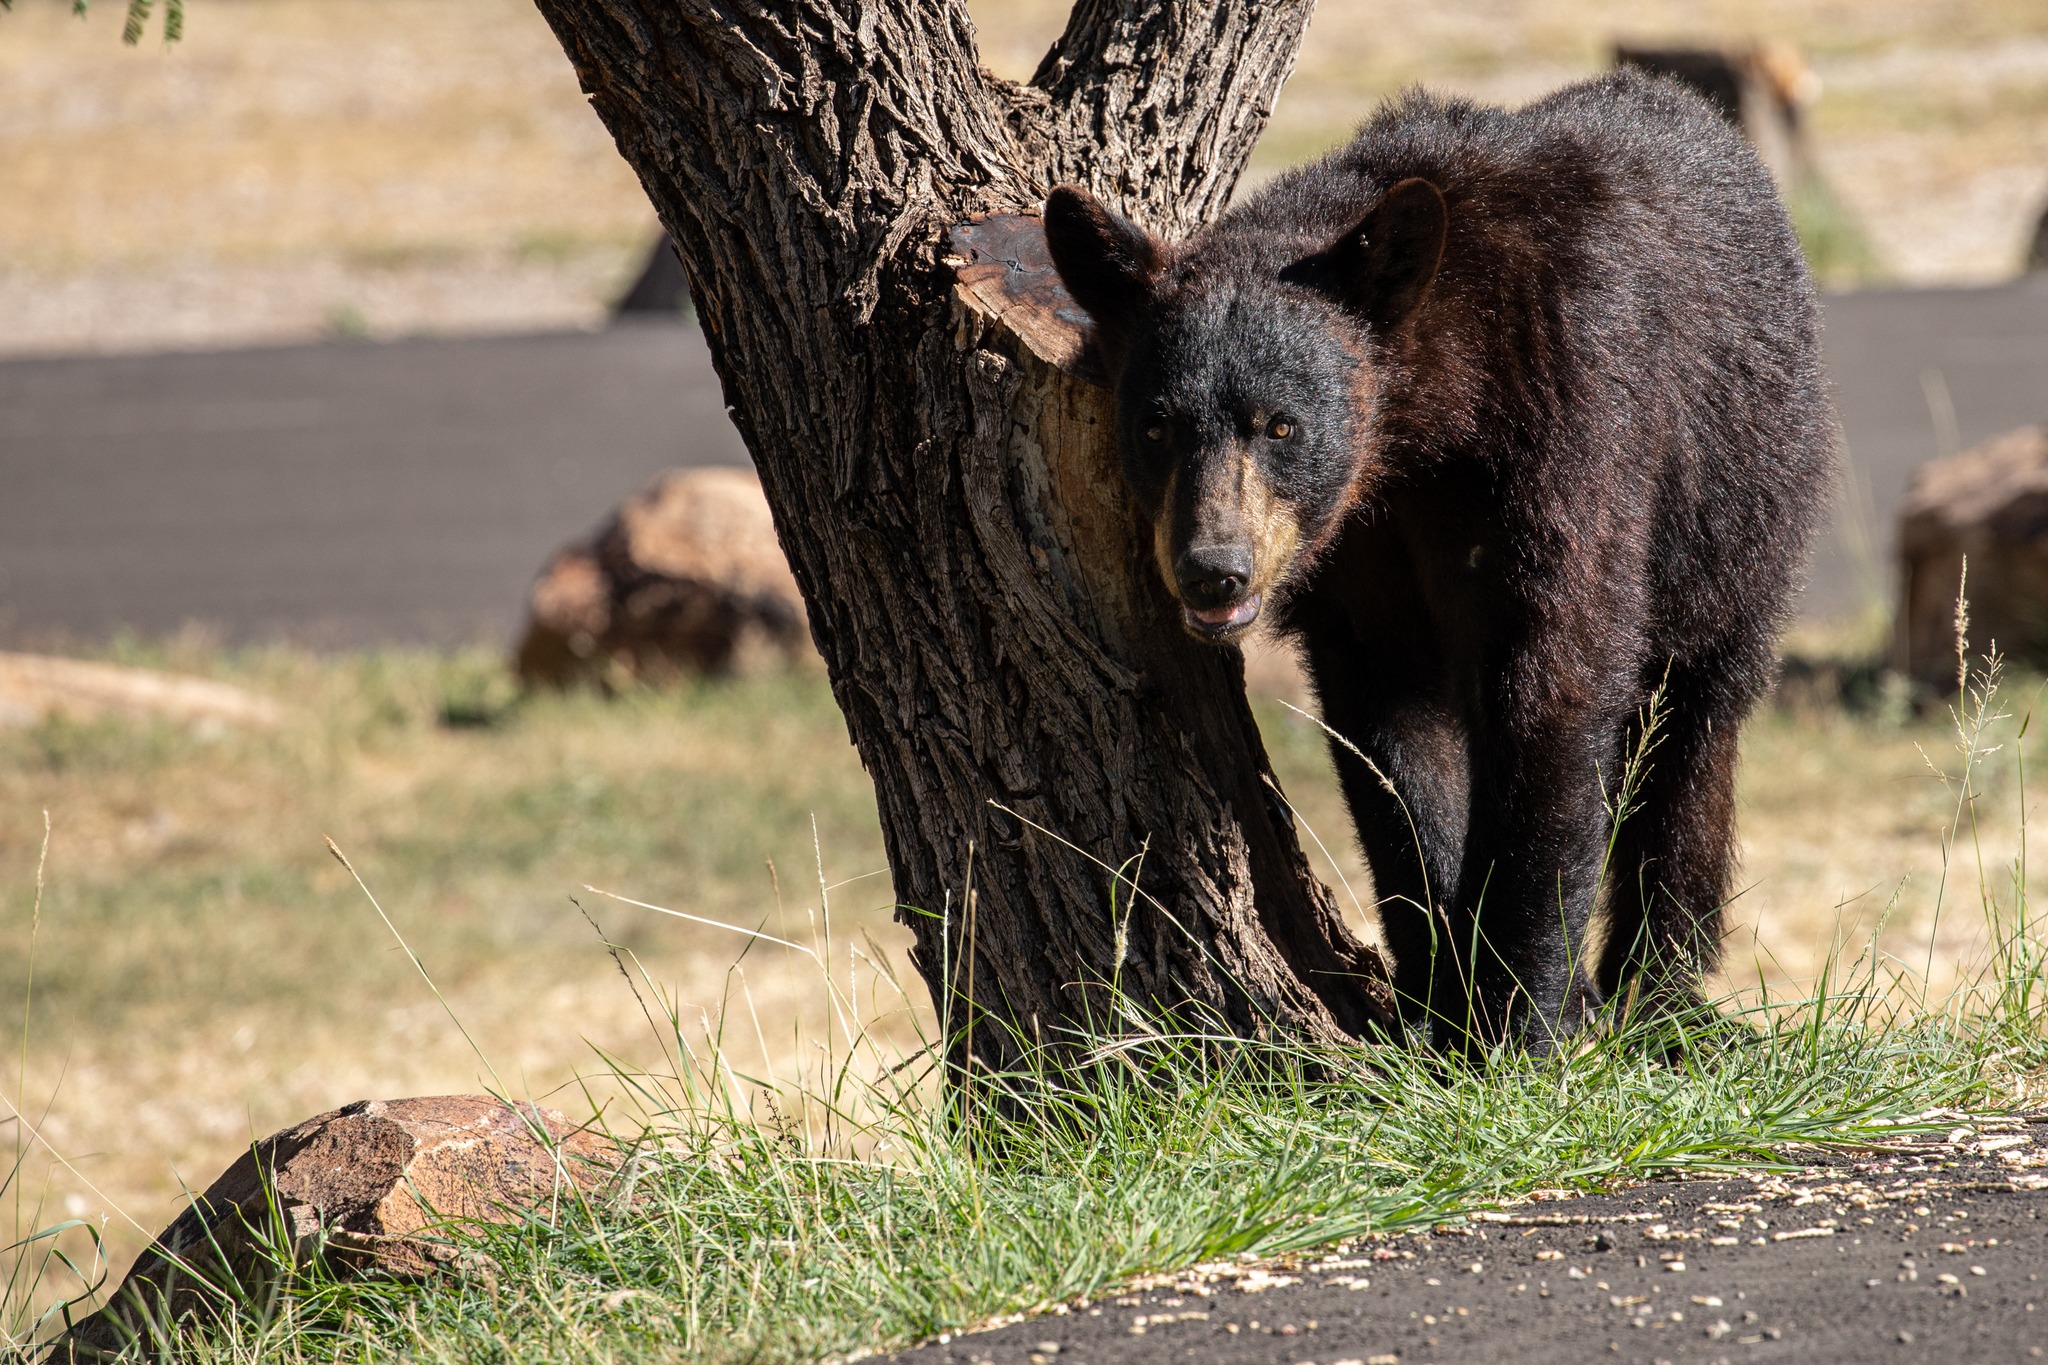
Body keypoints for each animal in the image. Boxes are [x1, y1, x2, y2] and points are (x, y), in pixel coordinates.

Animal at [1043, 71, 1835, 1052]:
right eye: (1156, 425)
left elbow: (1556, 682)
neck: (1428, 429)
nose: (1214, 569)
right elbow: (1391, 731)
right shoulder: (1360, 552)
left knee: (1695, 727)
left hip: (1741, 501)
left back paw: (1657, 988)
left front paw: (1519, 1013)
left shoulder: (1572, 422)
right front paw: (1437, 990)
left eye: (1281, 425)